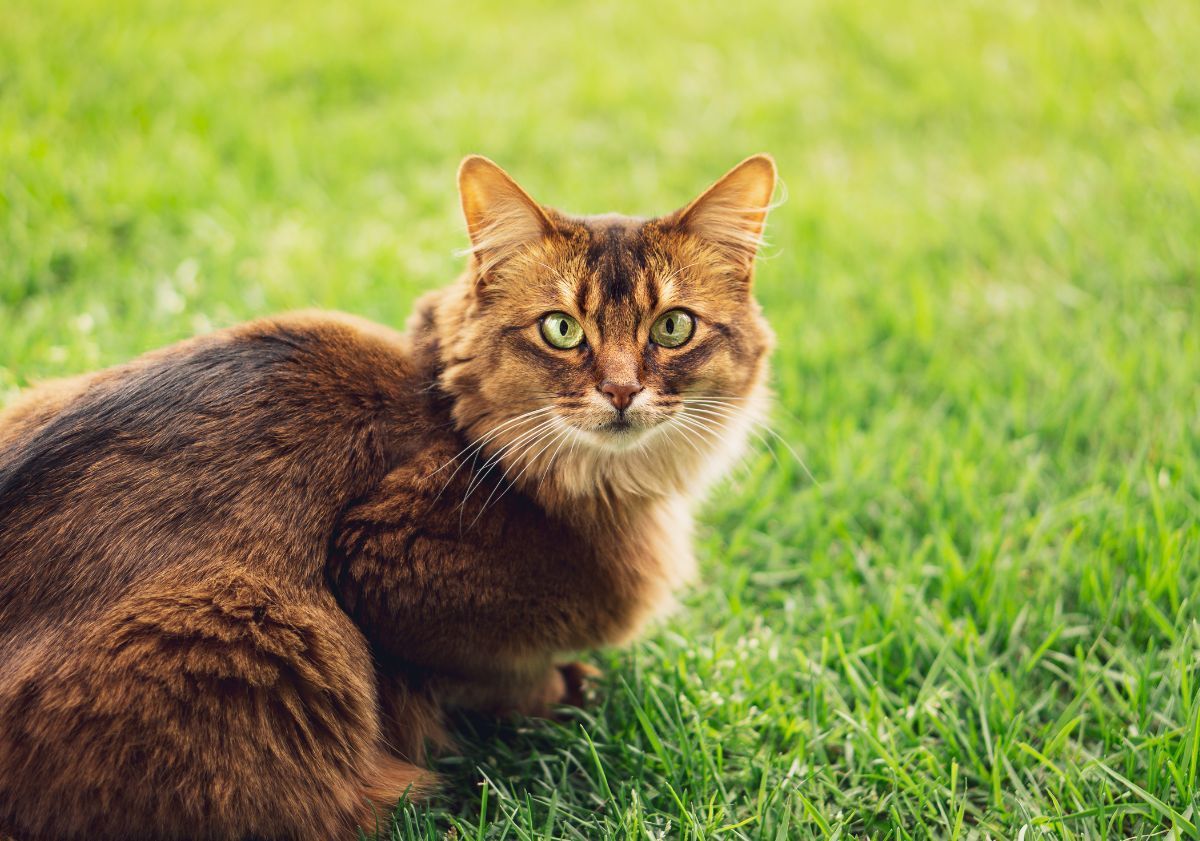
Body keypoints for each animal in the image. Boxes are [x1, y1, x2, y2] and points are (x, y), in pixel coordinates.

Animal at [0, 154, 777, 835]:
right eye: (561, 329)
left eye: (673, 326)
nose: (620, 391)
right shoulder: (382, 565)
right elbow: (489, 673)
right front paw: (565, 691)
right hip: (266, 625)